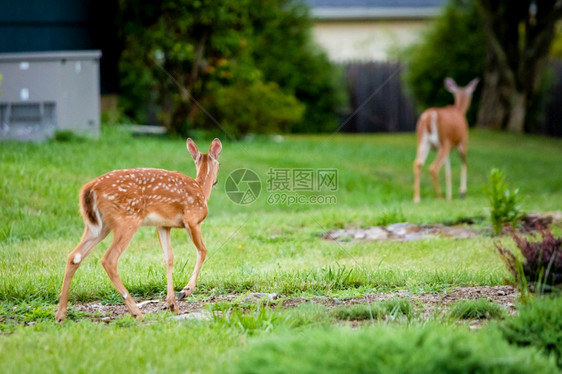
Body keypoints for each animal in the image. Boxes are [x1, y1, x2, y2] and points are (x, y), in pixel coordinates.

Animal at [54, 137, 221, 322]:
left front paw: (172, 305)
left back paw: (60, 315)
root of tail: (89, 188)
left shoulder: (163, 225)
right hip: (127, 220)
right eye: (220, 164)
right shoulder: (192, 218)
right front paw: (185, 291)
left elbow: (169, 258)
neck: (201, 190)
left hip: (97, 226)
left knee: (74, 256)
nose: (216, 181)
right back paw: (137, 313)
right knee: (109, 259)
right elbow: (203, 251)